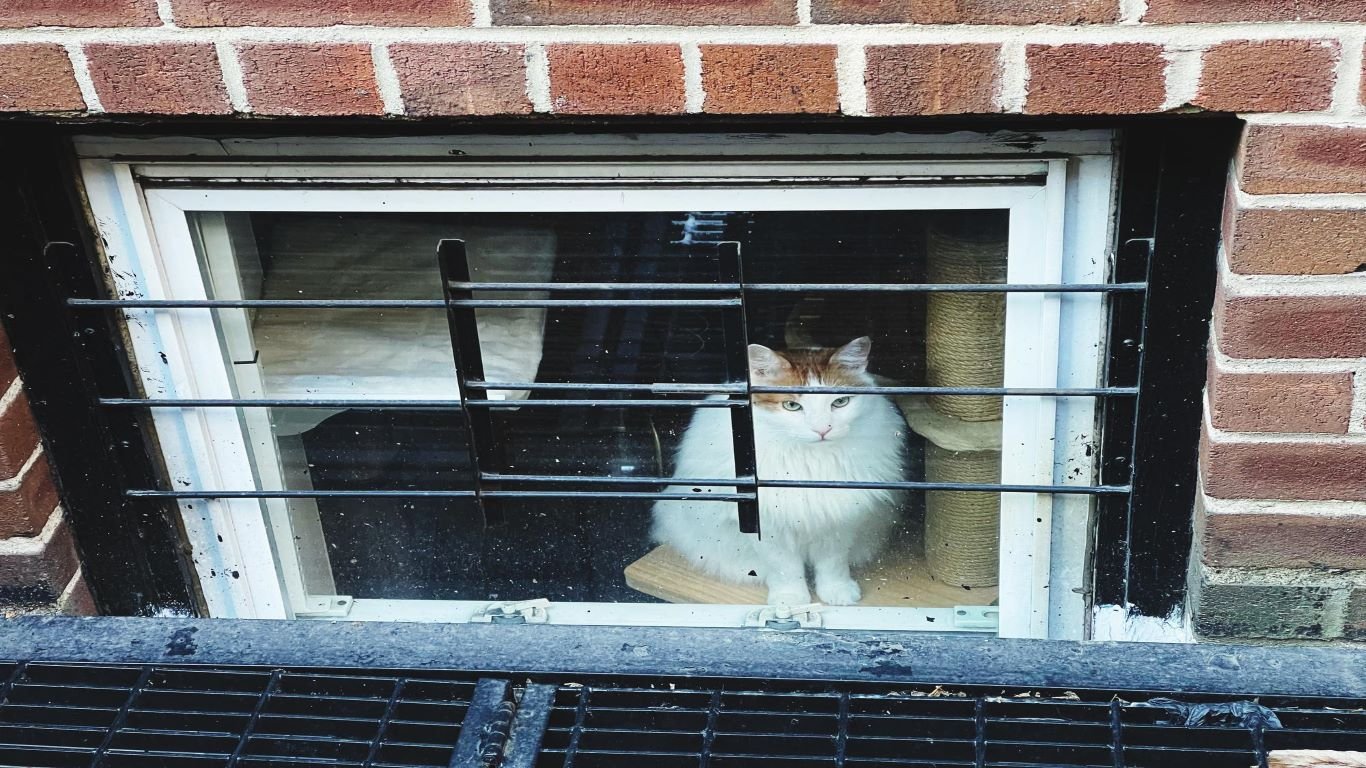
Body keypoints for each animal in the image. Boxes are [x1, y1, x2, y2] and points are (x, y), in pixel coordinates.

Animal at [650, 334, 907, 604]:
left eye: (840, 402)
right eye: (792, 406)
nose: (822, 429)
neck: (811, 463)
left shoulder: (838, 523)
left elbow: (832, 564)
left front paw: (838, 593)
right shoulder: (769, 529)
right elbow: (785, 569)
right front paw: (790, 600)